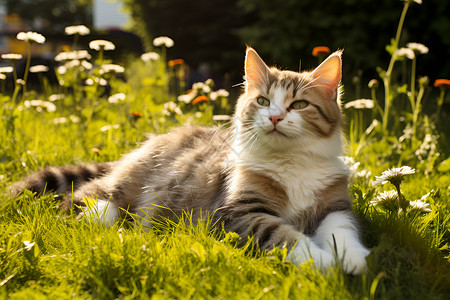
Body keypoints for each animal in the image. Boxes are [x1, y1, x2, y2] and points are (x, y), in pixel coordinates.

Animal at [13, 48, 370, 276]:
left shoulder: (334, 204)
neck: (291, 163)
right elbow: (286, 237)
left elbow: (343, 231)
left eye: (298, 104)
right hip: (117, 194)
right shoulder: (238, 212)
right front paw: (323, 262)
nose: (275, 117)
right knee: (85, 199)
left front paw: (353, 259)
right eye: (263, 101)